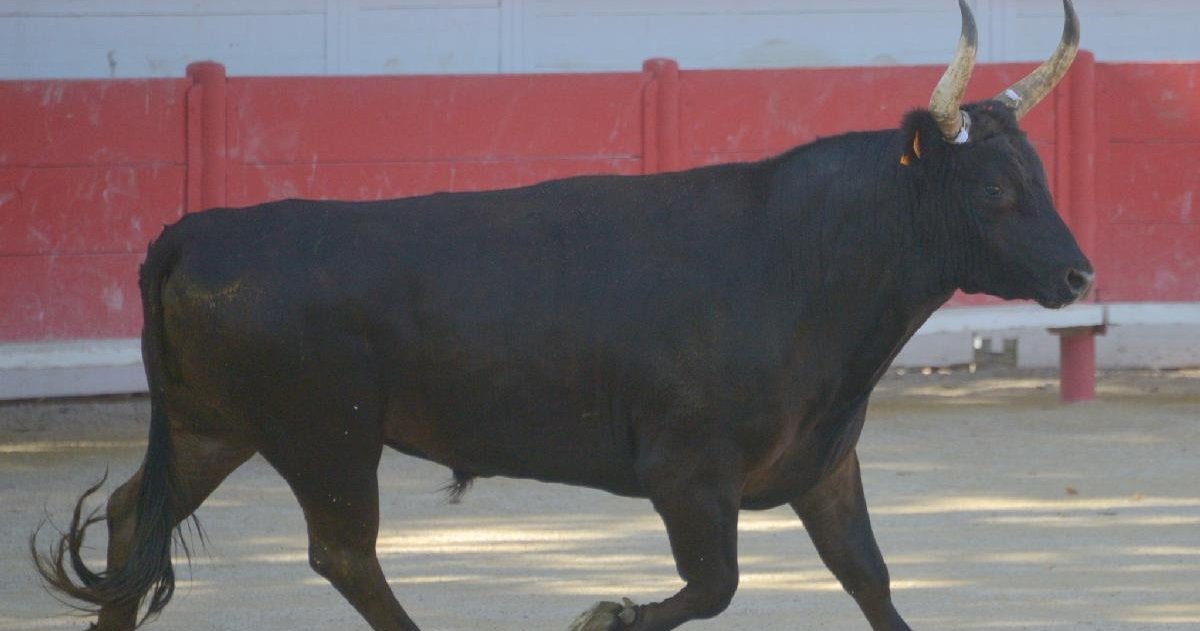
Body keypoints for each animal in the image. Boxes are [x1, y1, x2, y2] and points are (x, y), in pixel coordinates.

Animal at [30, 6, 1099, 631]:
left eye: (1041, 173)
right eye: (995, 189)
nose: (1081, 272)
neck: (808, 261)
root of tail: (194, 230)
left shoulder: (825, 466)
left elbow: (869, 577)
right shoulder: (687, 474)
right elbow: (715, 584)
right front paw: (603, 616)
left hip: (217, 427)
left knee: (132, 517)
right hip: (326, 438)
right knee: (344, 553)